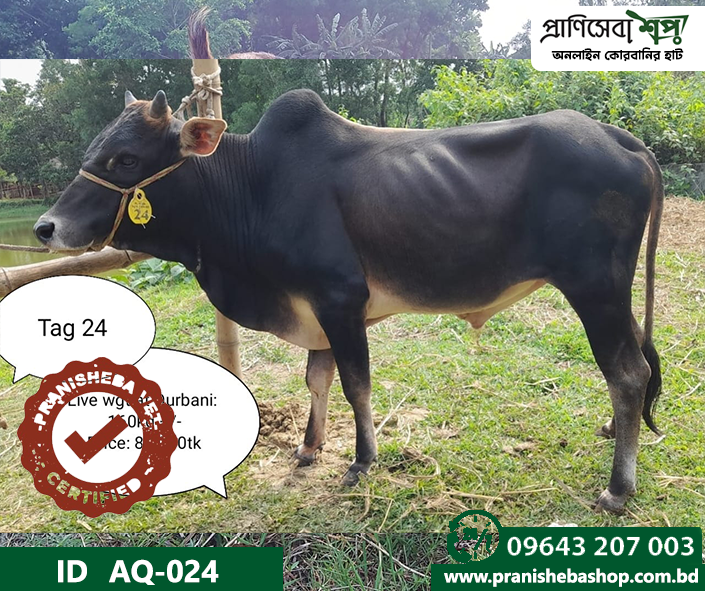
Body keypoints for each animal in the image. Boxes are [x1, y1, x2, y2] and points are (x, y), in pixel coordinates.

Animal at [34, 88, 664, 514]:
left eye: (125, 159)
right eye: (96, 150)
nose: (45, 227)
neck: (253, 187)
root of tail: (619, 137)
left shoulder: (340, 299)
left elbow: (356, 384)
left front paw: (361, 461)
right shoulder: (316, 311)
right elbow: (318, 378)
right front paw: (308, 449)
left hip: (595, 288)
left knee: (627, 373)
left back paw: (618, 488)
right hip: (613, 292)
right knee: (634, 366)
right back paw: (613, 432)